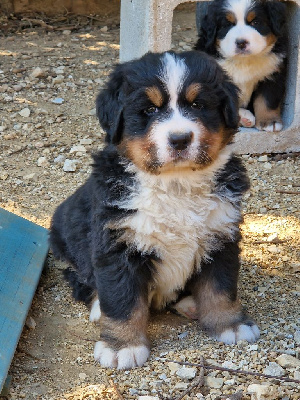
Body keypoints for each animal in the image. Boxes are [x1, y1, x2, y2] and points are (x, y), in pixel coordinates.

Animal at [49, 51, 260, 370]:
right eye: (148, 109)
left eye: (198, 105)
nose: (180, 139)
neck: (176, 184)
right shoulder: (118, 243)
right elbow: (123, 299)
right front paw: (121, 346)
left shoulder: (221, 234)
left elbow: (220, 288)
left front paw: (231, 325)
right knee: (83, 280)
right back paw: (99, 306)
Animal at [196, 0, 288, 133]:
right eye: (227, 24)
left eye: (255, 22)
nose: (241, 43)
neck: (244, 61)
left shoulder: (272, 75)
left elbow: (267, 100)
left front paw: (270, 122)